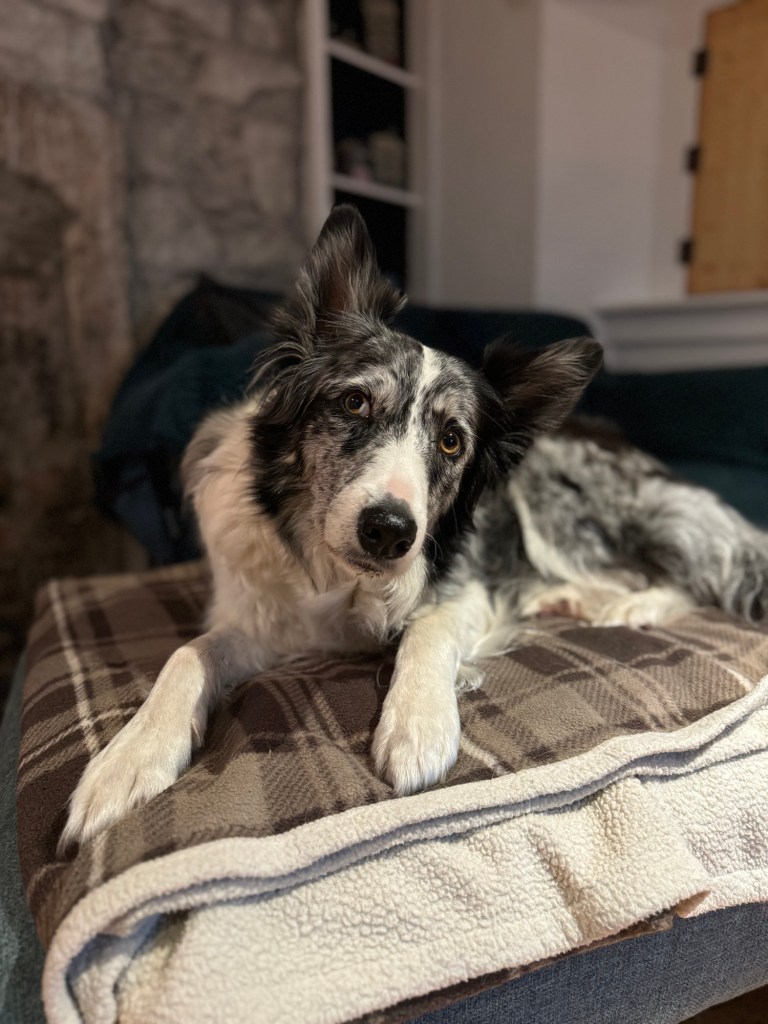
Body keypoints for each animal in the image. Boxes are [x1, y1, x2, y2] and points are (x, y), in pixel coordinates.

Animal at [61, 204, 768, 849]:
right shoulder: (260, 619)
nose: (389, 532)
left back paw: (632, 607)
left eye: (452, 440)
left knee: (682, 575)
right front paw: (130, 759)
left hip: (559, 506)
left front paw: (418, 724)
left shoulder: (470, 586)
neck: (340, 576)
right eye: (353, 403)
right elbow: (188, 653)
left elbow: (427, 629)